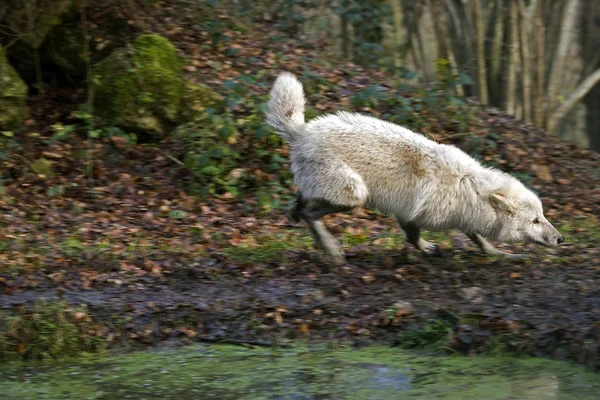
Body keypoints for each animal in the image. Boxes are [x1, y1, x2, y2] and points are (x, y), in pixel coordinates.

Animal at [266, 72, 564, 266]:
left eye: (542, 216)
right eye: (535, 221)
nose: (560, 239)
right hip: (354, 195)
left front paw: (499, 254)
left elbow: (479, 240)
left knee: (300, 202)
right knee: (310, 213)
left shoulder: (453, 217)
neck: (468, 188)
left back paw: (298, 216)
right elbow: (414, 235)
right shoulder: (411, 213)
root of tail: (302, 131)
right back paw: (332, 250)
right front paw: (426, 249)